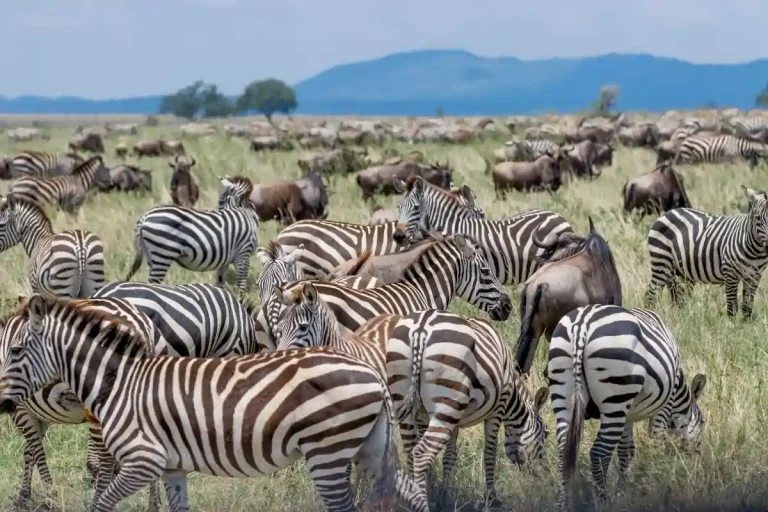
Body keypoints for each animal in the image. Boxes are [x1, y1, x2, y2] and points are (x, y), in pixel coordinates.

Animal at [0, 294, 429, 512]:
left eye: (15, 349)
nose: (3, 404)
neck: (120, 381)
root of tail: (371, 371)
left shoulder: (142, 461)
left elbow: (100, 502)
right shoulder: (171, 466)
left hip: (328, 451)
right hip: (368, 448)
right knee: (410, 493)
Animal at [125, 176, 260, 294]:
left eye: (221, 201)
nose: (216, 211)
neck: (245, 212)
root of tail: (144, 217)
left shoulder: (227, 260)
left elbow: (220, 281)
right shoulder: (243, 253)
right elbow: (241, 285)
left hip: (151, 255)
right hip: (163, 254)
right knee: (154, 283)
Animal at [274, 293, 549, 507]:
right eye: (546, 433)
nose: (542, 477)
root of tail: (420, 330)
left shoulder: (455, 418)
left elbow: (450, 455)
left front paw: (445, 492)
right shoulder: (495, 409)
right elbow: (489, 453)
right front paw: (491, 499)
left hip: (410, 405)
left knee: (410, 450)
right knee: (419, 452)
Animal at [547, 304, 706, 508]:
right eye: (702, 422)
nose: (698, 464)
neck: (678, 389)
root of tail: (582, 325)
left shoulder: (628, 415)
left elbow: (626, 452)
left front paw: (624, 492)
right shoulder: (664, 406)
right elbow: (656, 443)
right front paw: (658, 484)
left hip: (564, 392)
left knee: (563, 453)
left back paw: (563, 503)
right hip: (616, 395)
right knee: (599, 453)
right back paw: (602, 501)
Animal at [645, 186, 768, 318]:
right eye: (758, 218)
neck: (755, 252)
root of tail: (668, 213)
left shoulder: (754, 276)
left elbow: (747, 307)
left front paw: (745, 322)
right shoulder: (730, 274)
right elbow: (732, 308)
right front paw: (733, 323)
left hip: (681, 273)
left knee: (678, 300)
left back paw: (682, 318)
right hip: (661, 263)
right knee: (651, 294)